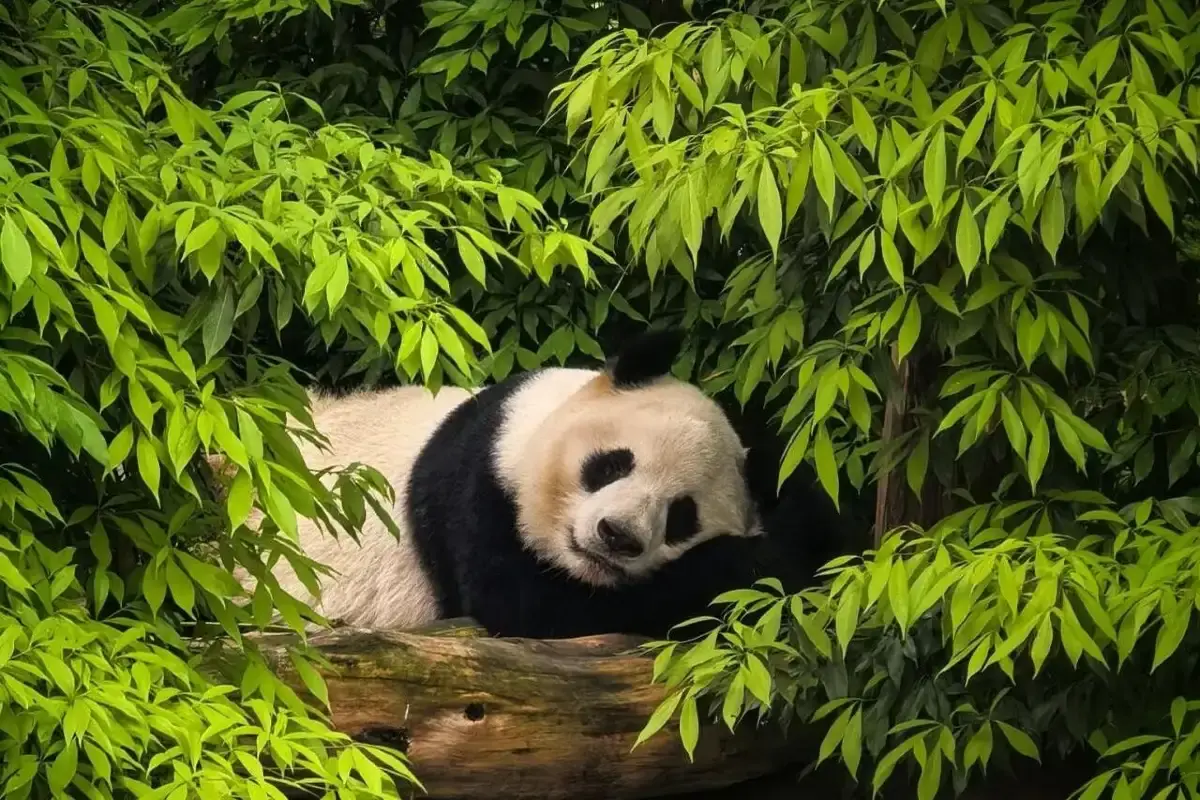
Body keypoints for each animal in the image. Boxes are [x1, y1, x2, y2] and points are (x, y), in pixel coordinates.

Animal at [248, 329, 839, 640]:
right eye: (611, 465)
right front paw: (759, 559)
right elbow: (532, 607)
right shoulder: (476, 482)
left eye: (681, 516)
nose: (617, 536)